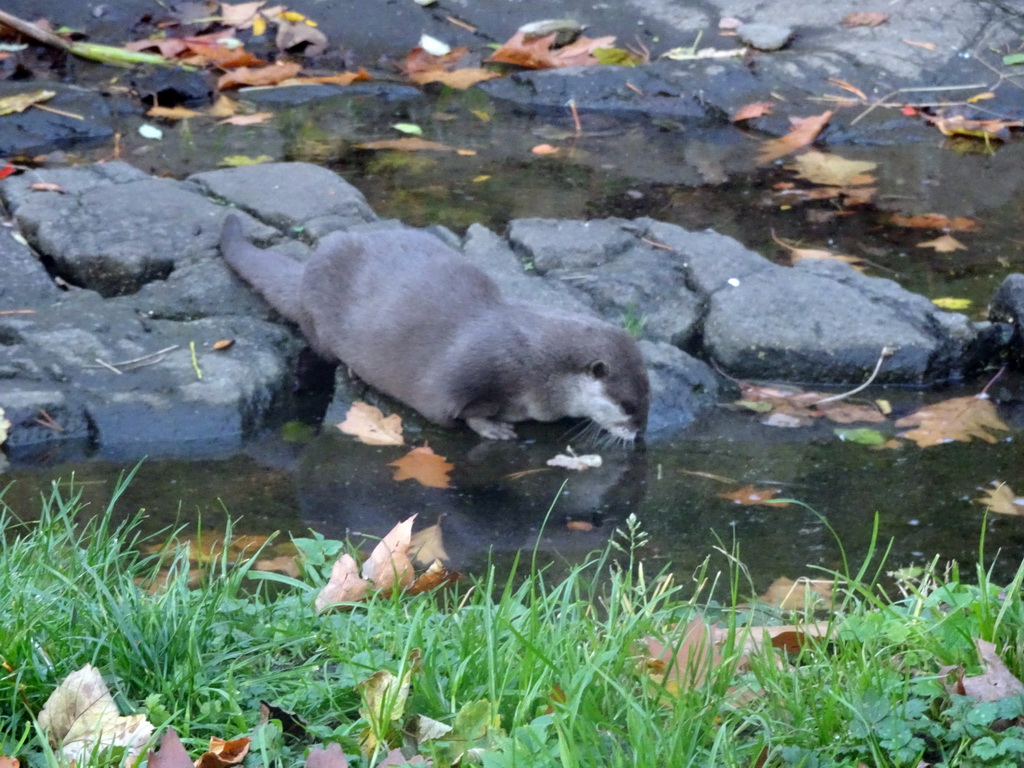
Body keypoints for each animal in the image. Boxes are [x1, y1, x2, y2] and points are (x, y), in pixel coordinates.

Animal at [218, 217, 647, 442]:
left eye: (648, 399)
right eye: (628, 405)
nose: (640, 432)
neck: (537, 369)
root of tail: (308, 268)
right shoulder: (463, 378)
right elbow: (458, 412)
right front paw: (494, 427)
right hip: (321, 318)